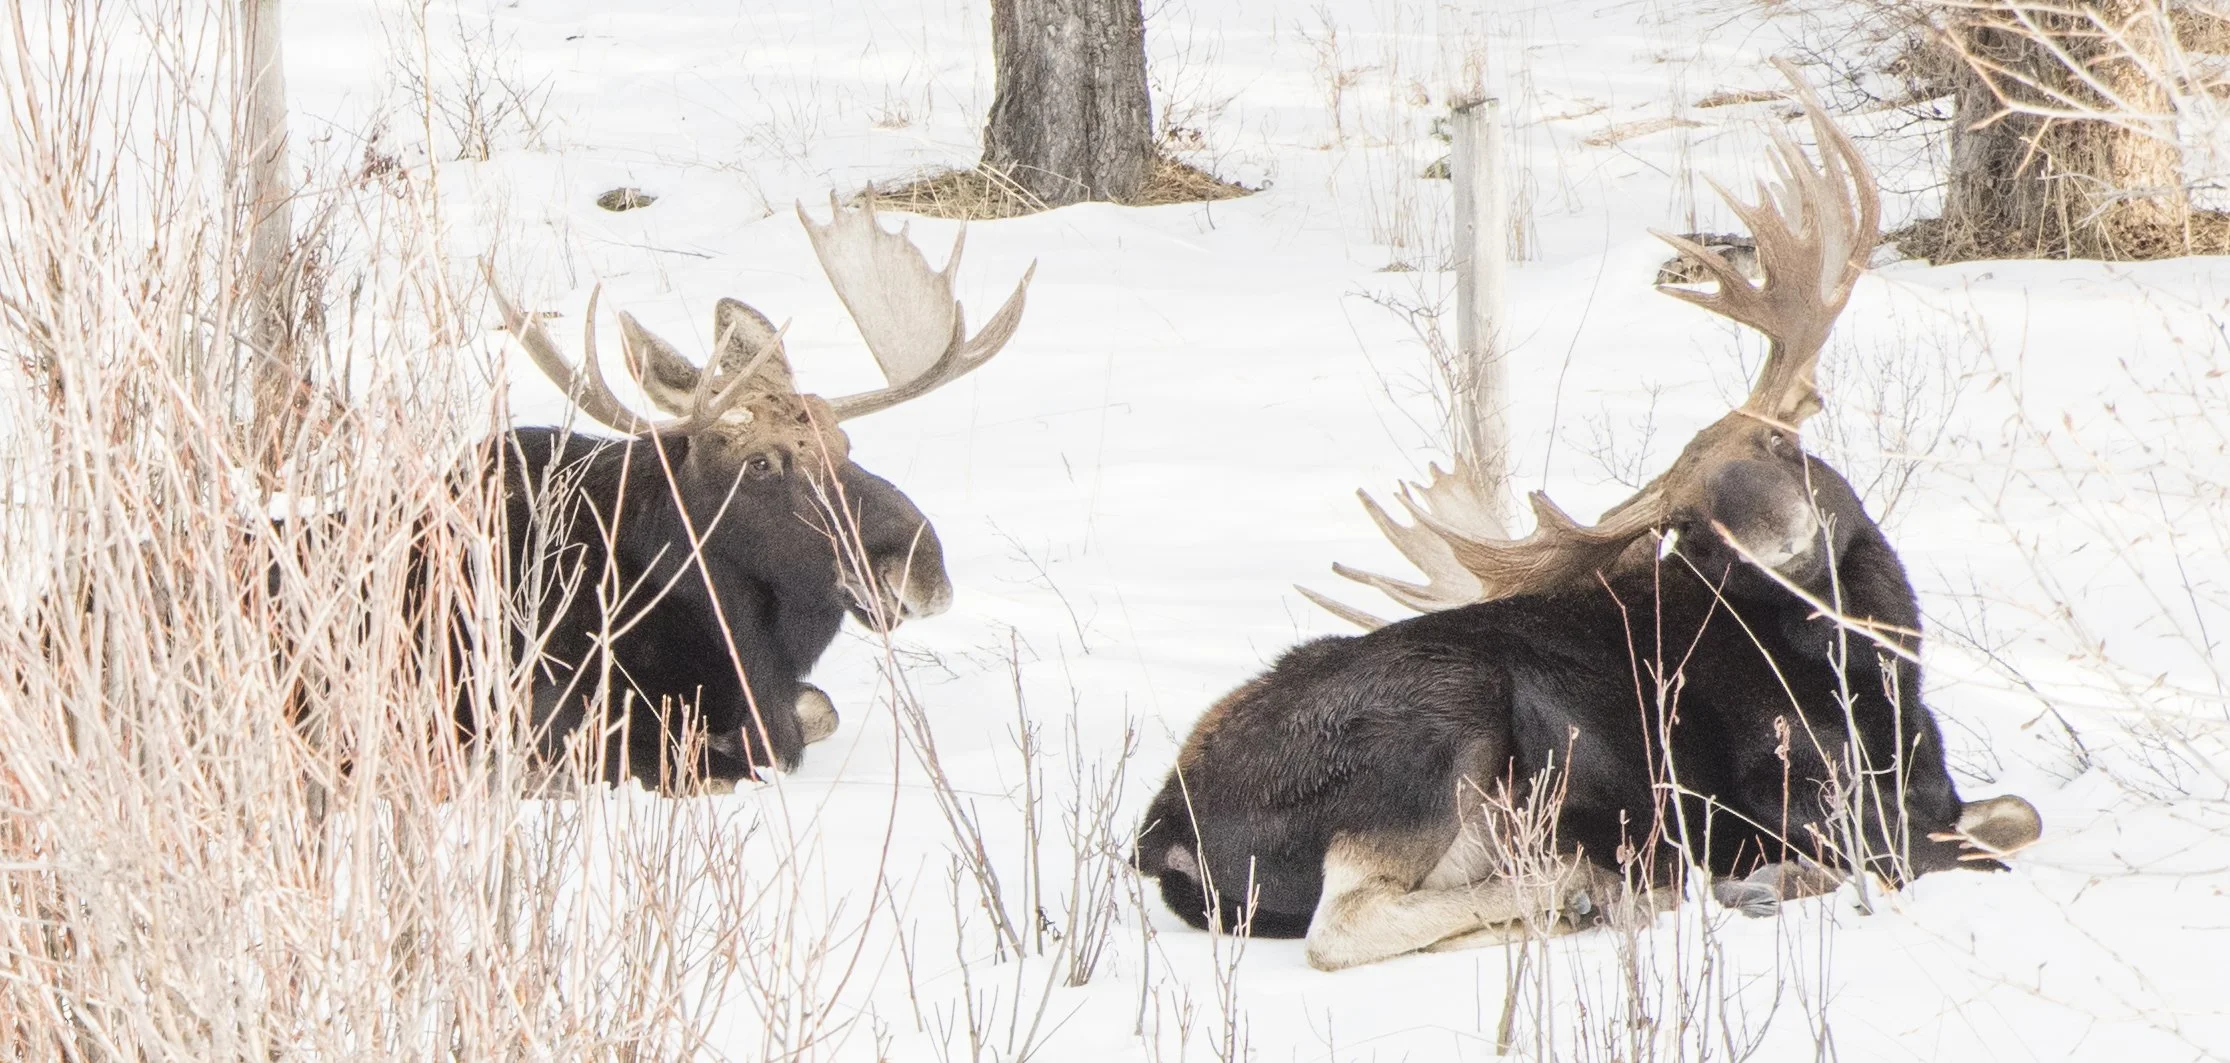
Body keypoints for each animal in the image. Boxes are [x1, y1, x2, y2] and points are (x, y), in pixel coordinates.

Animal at [1133, 67, 2041, 971]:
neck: (1876, 686)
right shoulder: (1789, 788)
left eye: (1778, 440)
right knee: (1343, 923)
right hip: (1430, 728)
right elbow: (1944, 850)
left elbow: (2016, 812)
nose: (1777, 536)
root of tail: (1164, 833)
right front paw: (1765, 880)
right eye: (1686, 521)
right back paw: (1590, 886)